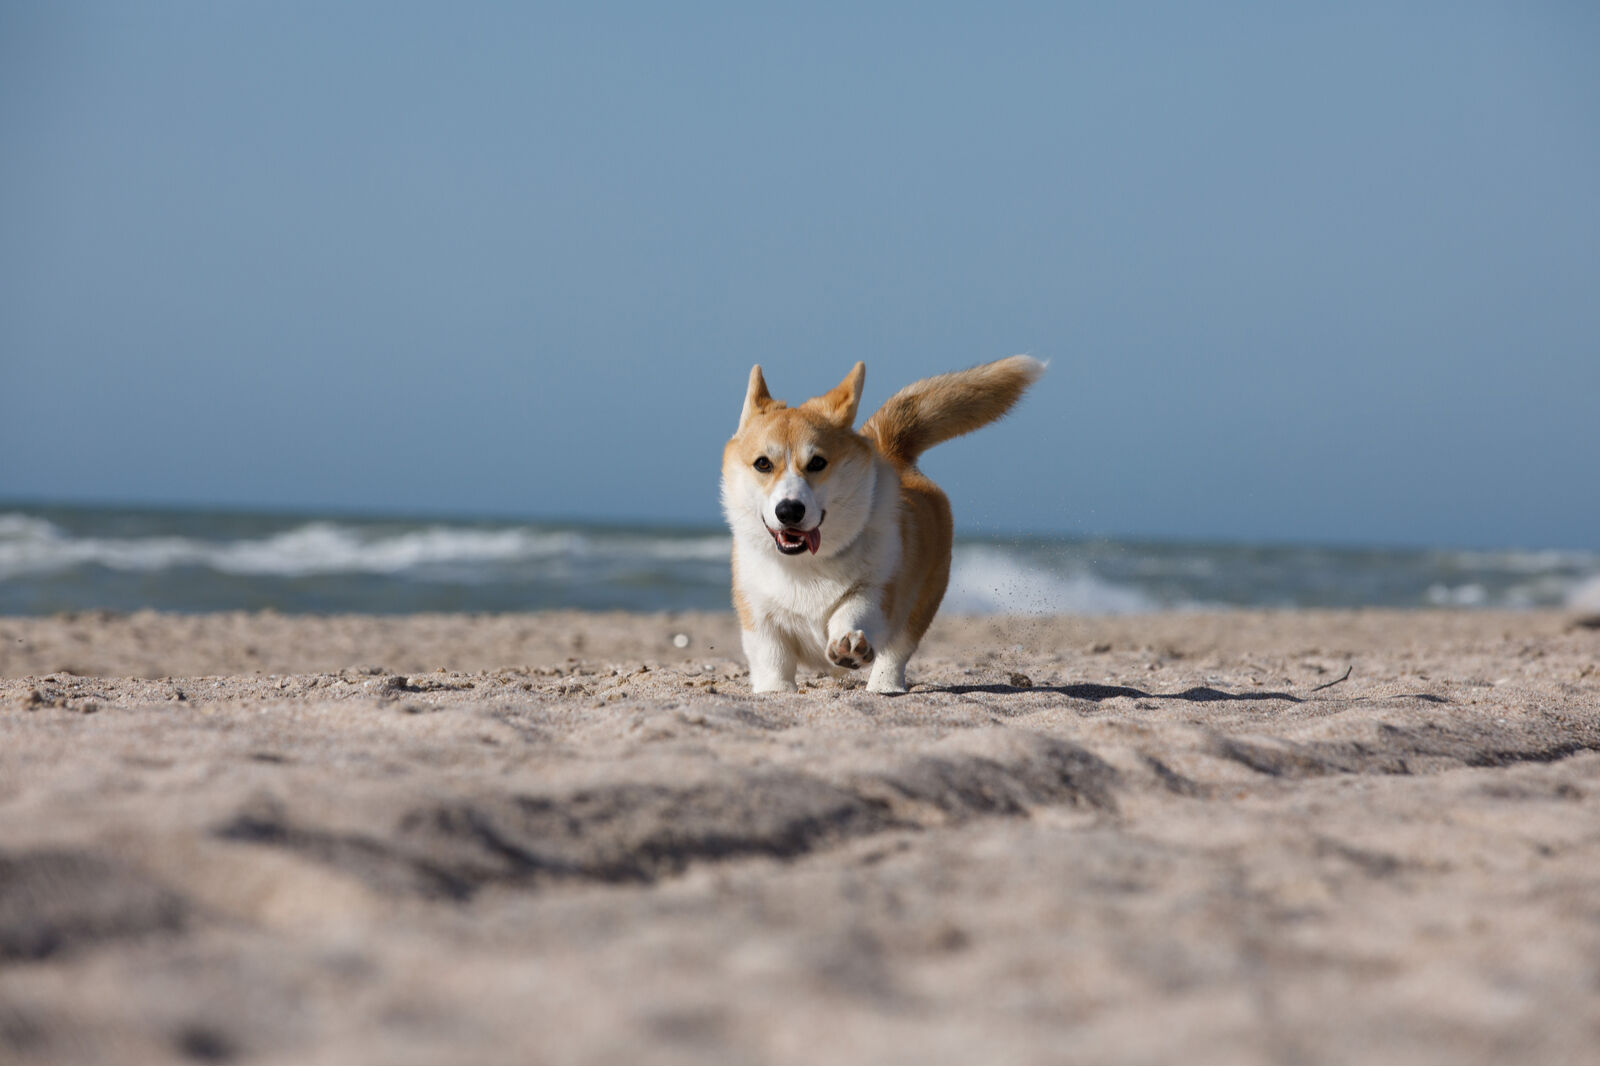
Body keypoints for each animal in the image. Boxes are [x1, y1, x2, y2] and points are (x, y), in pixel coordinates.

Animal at [720, 355, 1043, 697]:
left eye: (818, 462)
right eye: (763, 463)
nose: (789, 511)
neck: (807, 564)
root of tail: (892, 452)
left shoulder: (877, 589)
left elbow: (853, 611)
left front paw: (848, 644)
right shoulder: (759, 616)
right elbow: (773, 662)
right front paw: (775, 691)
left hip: (920, 606)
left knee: (896, 650)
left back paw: (884, 686)